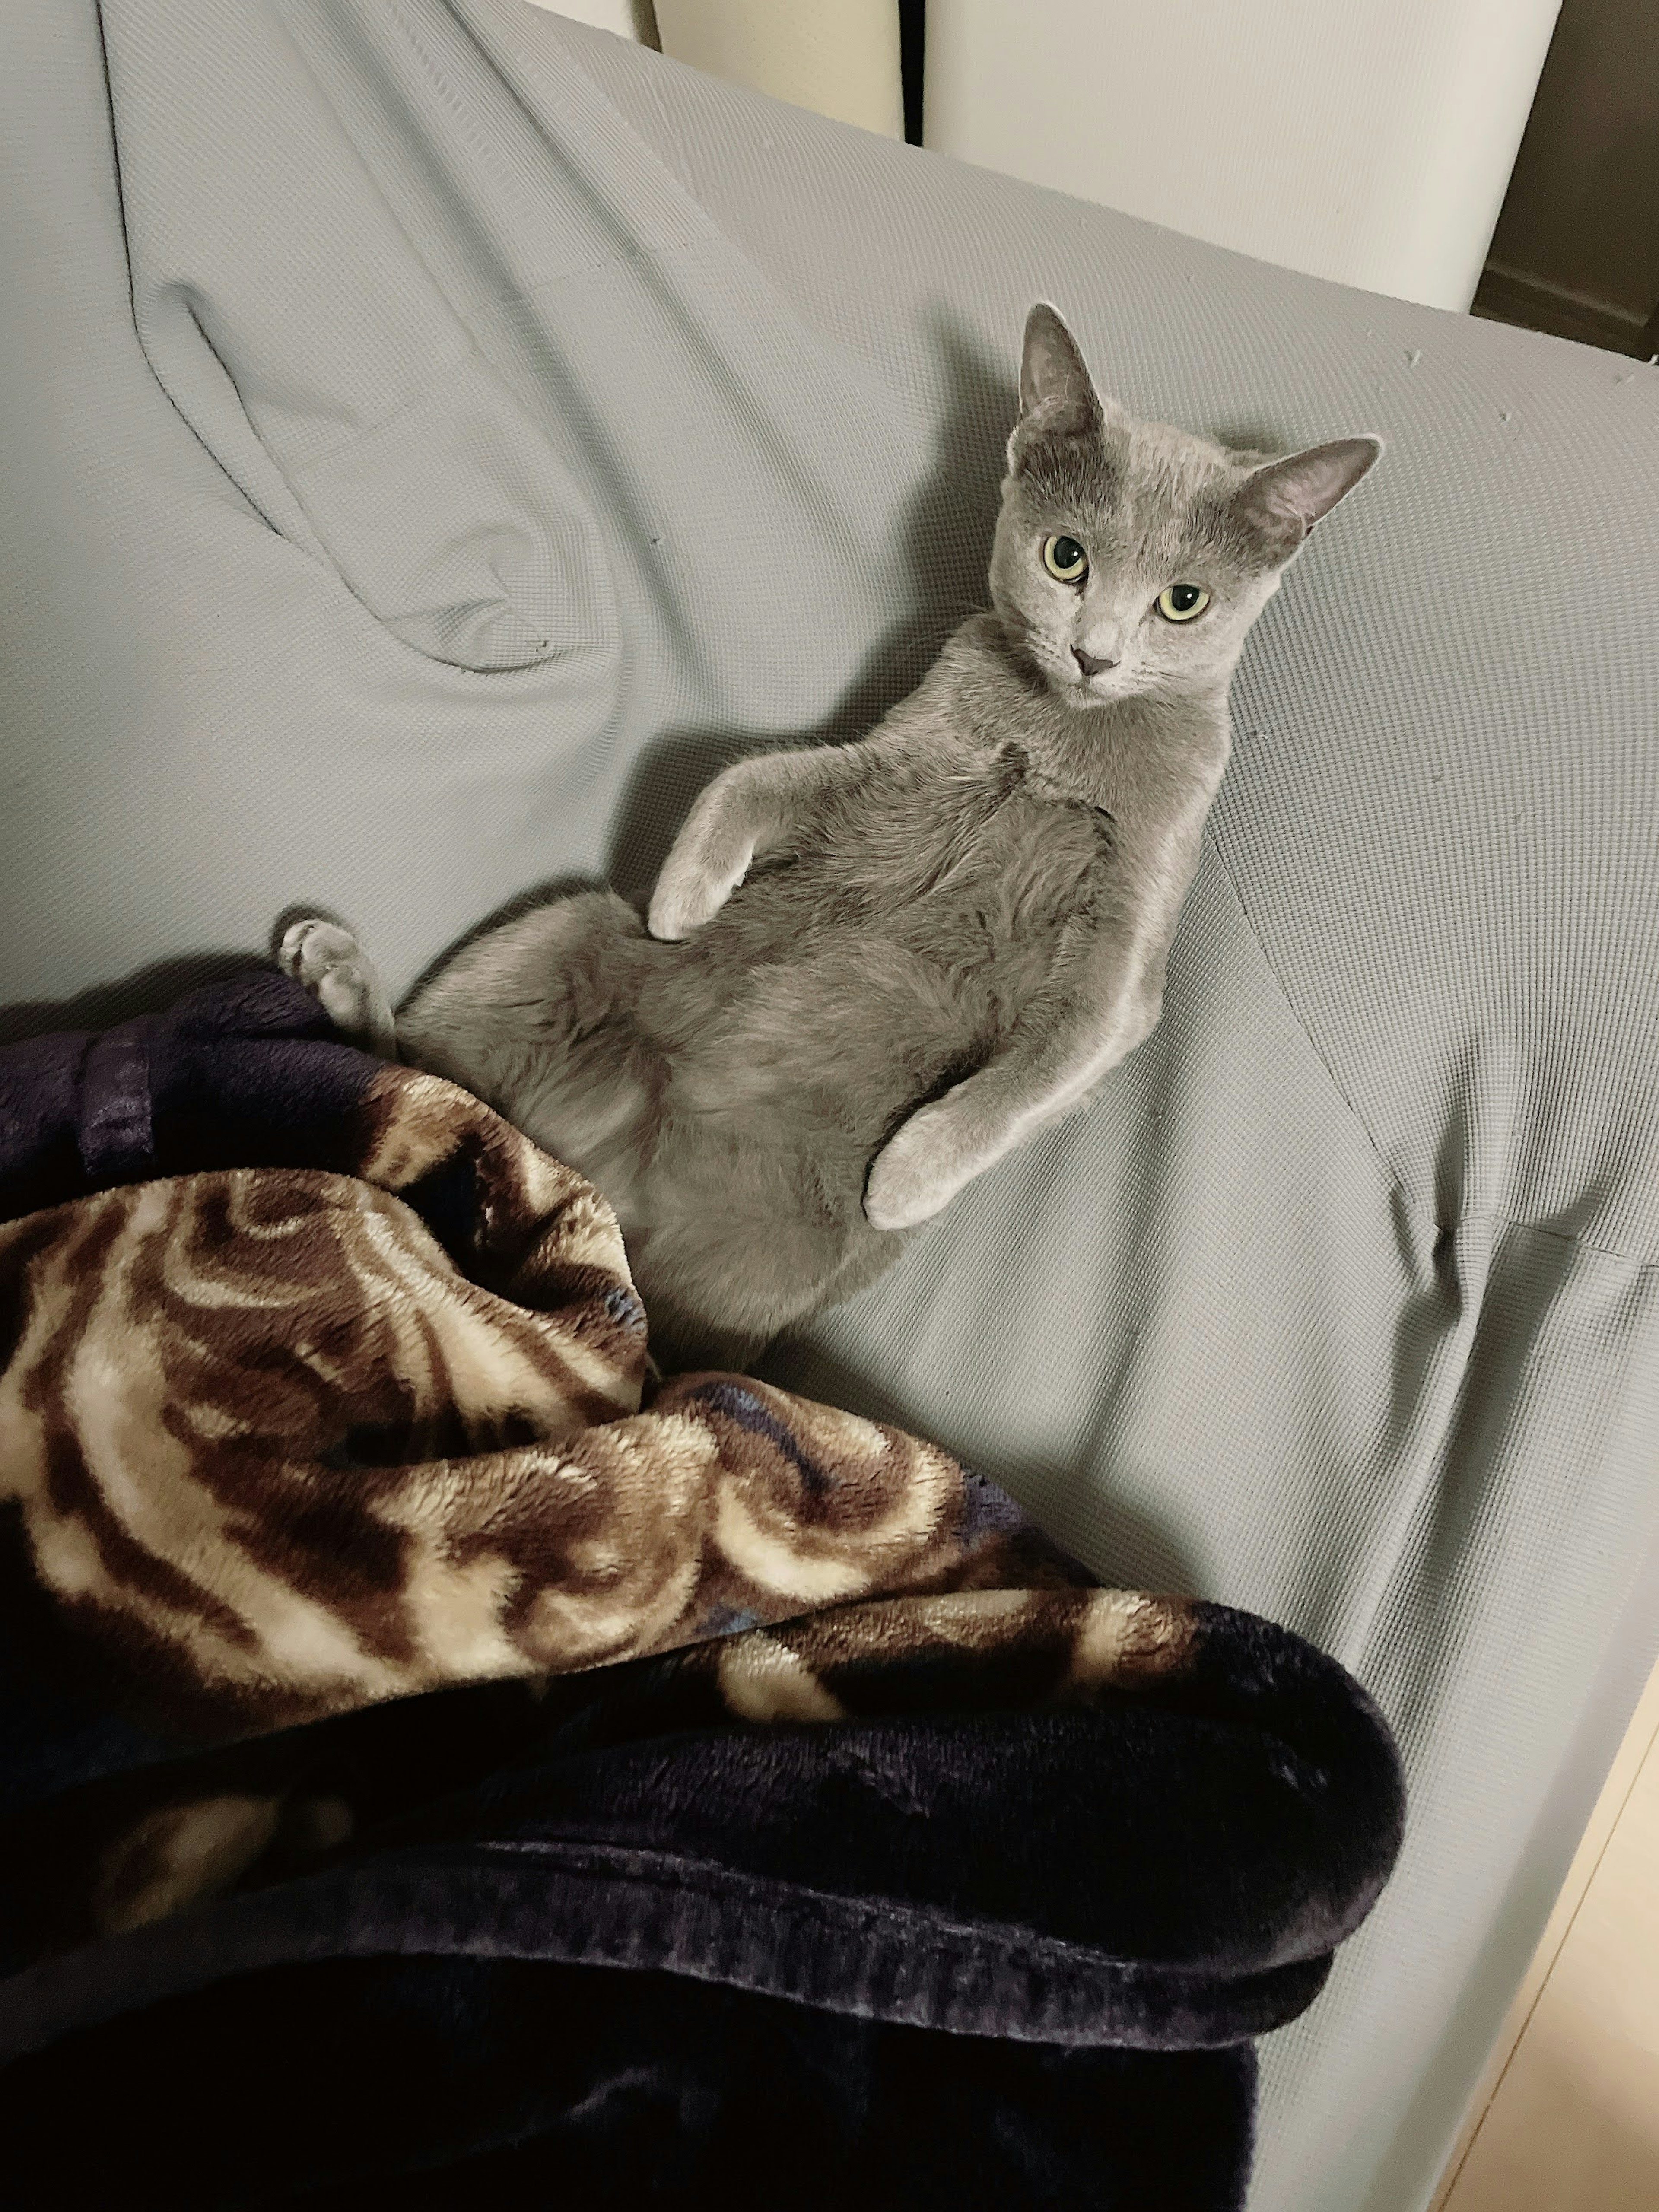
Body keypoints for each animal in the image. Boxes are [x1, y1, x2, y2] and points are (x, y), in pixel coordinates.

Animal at [280, 294, 1380, 1362]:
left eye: (1182, 602)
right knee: (417, 1085)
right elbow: (754, 772)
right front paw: (684, 903)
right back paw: (337, 974)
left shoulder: (1130, 939)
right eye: (1066, 556)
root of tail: (599, 1190)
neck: (1054, 737)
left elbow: (1047, 1065)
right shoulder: (898, 762)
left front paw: (907, 1178)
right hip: (563, 939)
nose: (1096, 654)